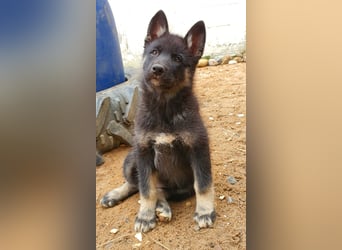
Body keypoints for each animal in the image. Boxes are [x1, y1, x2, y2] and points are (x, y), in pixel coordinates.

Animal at [100, 9, 215, 232]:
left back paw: (162, 207)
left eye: (178, 58)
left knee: (160, 191)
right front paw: (145, 216)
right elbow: (146, 189)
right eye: (154, 52)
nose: (157, 69)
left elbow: (203, 184)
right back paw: (118, 196)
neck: (164, 107)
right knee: (137, 184)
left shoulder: (199, 149)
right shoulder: (144, 151)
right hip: (132, 159)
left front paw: (205, 211)